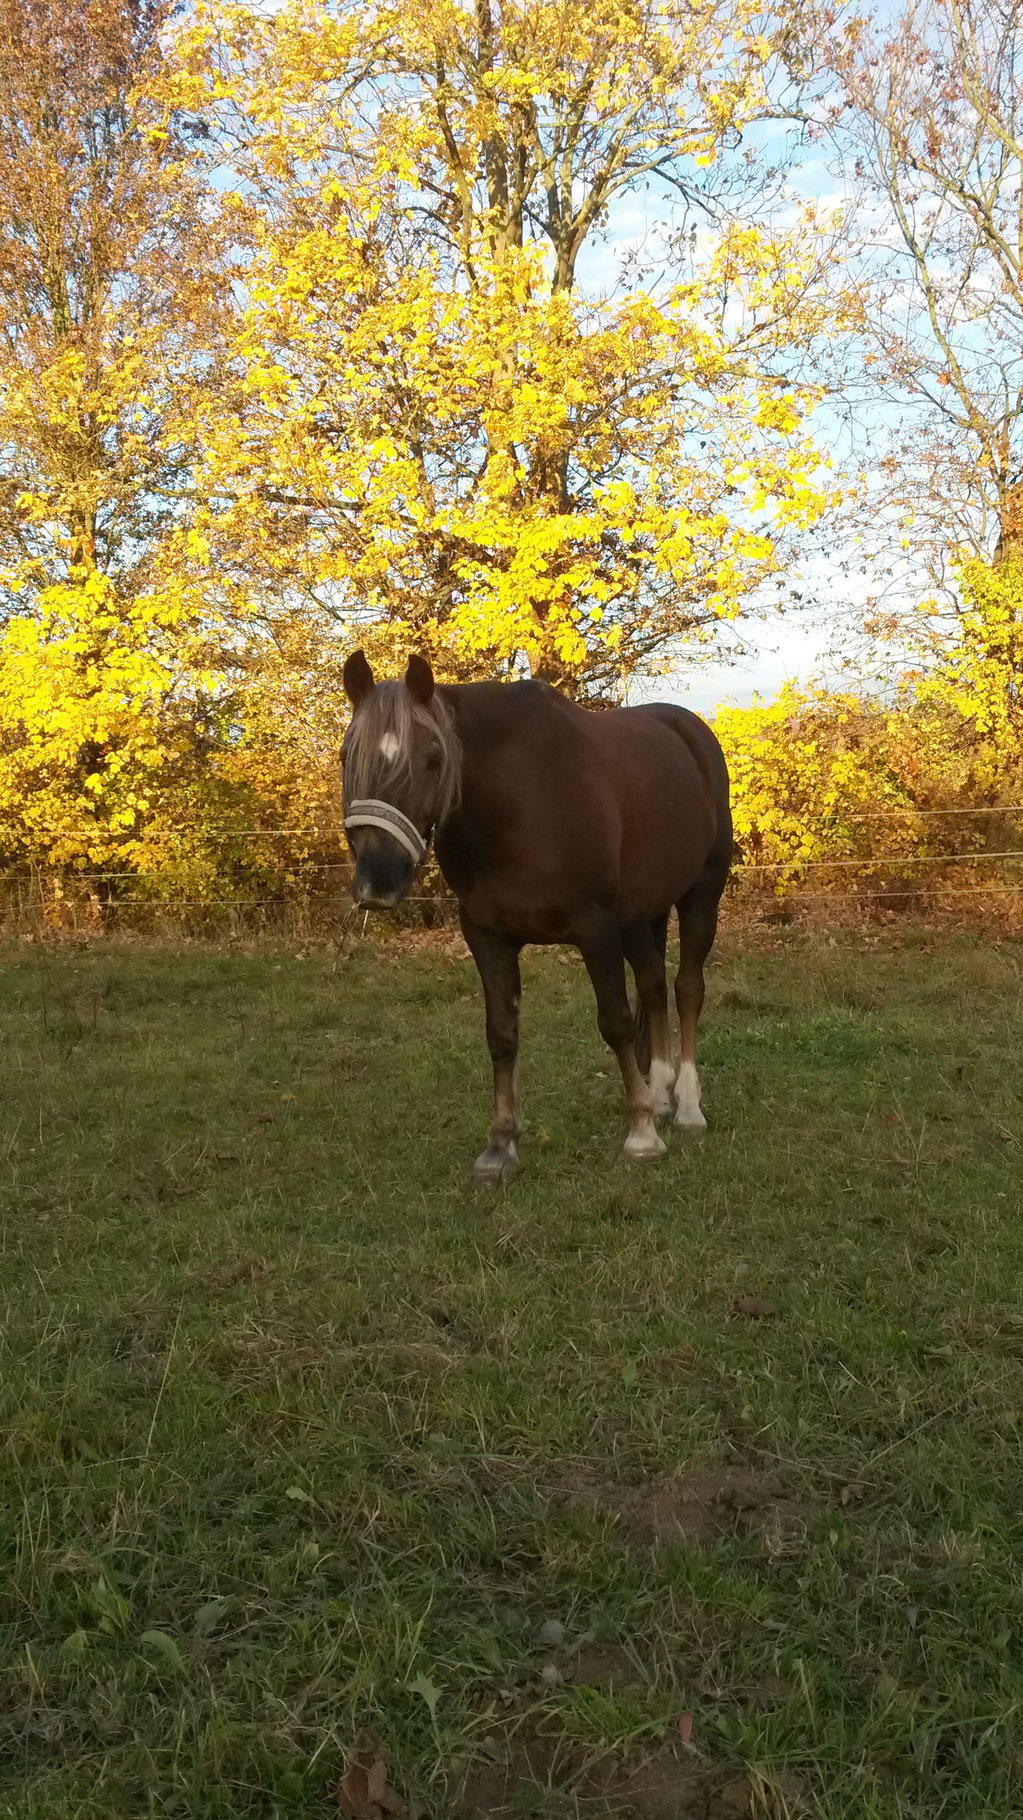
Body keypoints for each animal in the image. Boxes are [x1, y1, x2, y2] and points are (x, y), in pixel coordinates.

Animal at [338, 651, 728, 1179]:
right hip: (641, 914)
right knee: (652, 984)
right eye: (347, 756)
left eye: (434, 758)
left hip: (701, 893)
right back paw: (662, 1093)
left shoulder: (596, 929)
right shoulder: (486, 934)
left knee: (687, 989)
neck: (519, 805)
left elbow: (616, 1022)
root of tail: (691, 731)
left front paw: (642, 1133)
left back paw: (686, 1106)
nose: (379, 877)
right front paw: (501, 1145)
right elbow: (502, 1033)